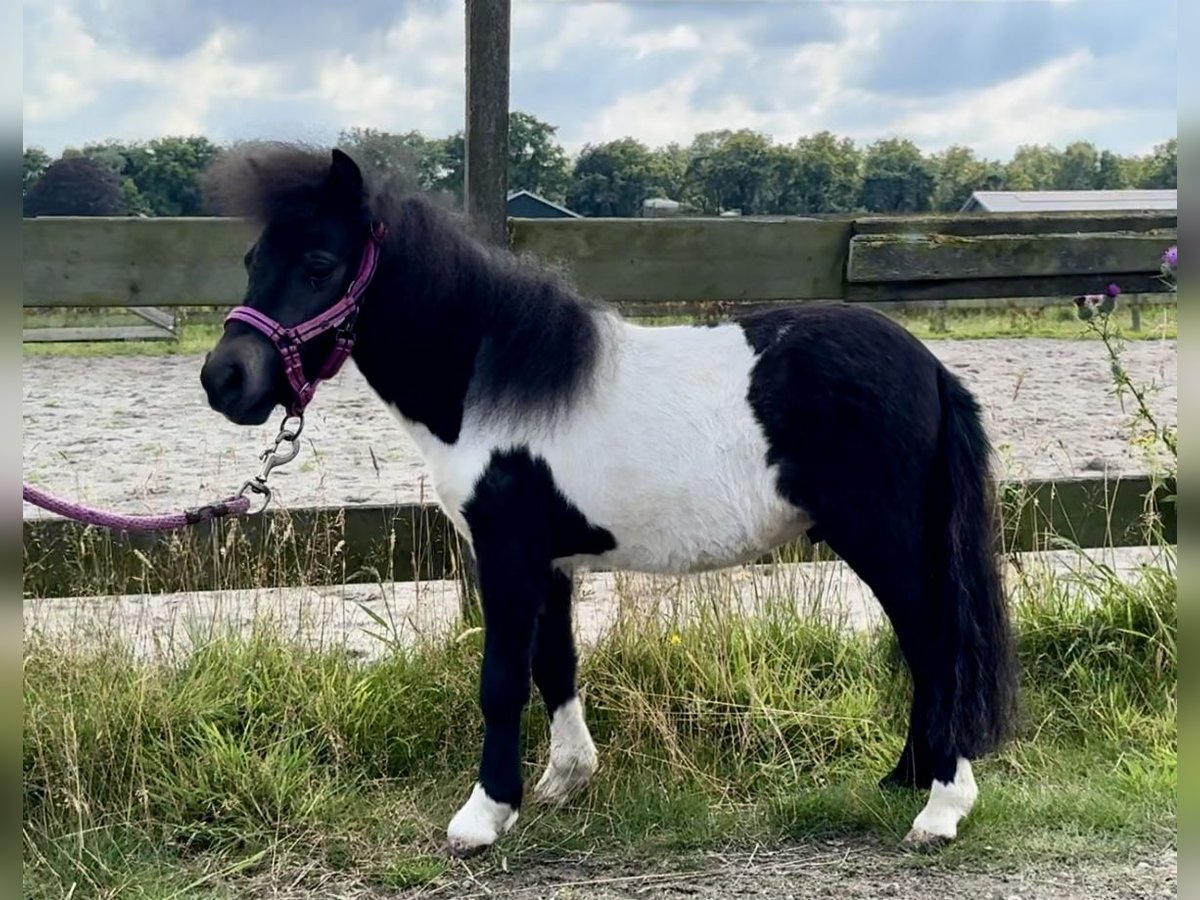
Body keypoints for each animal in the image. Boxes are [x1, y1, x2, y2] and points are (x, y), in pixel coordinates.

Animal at [201, 142, 1017, 859]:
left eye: (319, 265)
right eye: (250, 261)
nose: (224, 380)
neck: (492, 384)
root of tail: (931, 369)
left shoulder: (506, 556)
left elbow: (501, 680)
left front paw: (482, 817)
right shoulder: (550, 563)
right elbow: (554, 666)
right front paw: (563, 782)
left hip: (885, 540)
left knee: (938, 649)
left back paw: (940, 809)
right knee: (924, 655)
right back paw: (902, 780)